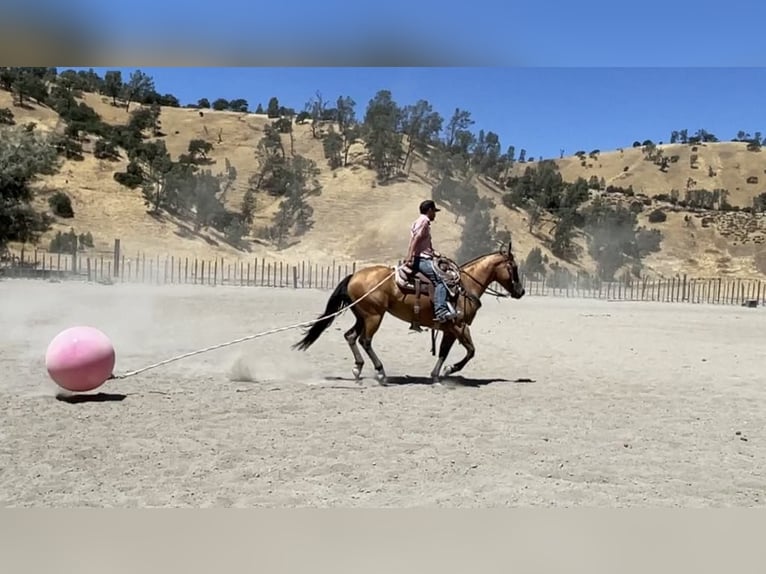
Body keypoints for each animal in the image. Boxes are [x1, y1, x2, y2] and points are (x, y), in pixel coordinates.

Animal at [292, 241, 526, 385]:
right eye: (513, 267)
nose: (521, 291)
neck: (465, 286)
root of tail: (354, 276)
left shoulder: (449, 329)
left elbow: (443, 352)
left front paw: (436, 376)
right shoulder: (460, 326)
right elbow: (470, 351)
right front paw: (450, 370)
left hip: (362, 316)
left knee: (350, 336)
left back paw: (358, 370)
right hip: (374, 316)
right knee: (365, 341)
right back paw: (380, 372)